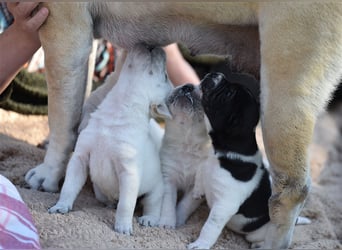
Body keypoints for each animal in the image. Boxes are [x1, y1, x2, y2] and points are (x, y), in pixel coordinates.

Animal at [47, 45, 174, 234]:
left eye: (165, 76)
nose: (156, 47)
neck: (118, 108)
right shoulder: (80, 159)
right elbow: (69, 187)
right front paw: (61, 206)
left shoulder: (129, 172)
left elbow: (126, 204)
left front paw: (123, 227)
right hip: (100, 192)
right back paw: (109, 204)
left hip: (156, 191)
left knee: (152, 205)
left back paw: (148, 219)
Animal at [156, 84, 211, 229]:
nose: (188, 86)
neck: (187, 145)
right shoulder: (168, 178)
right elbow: (168, 203)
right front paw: (167, 223)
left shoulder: (194, 189)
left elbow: (185, 205)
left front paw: (178, 221)